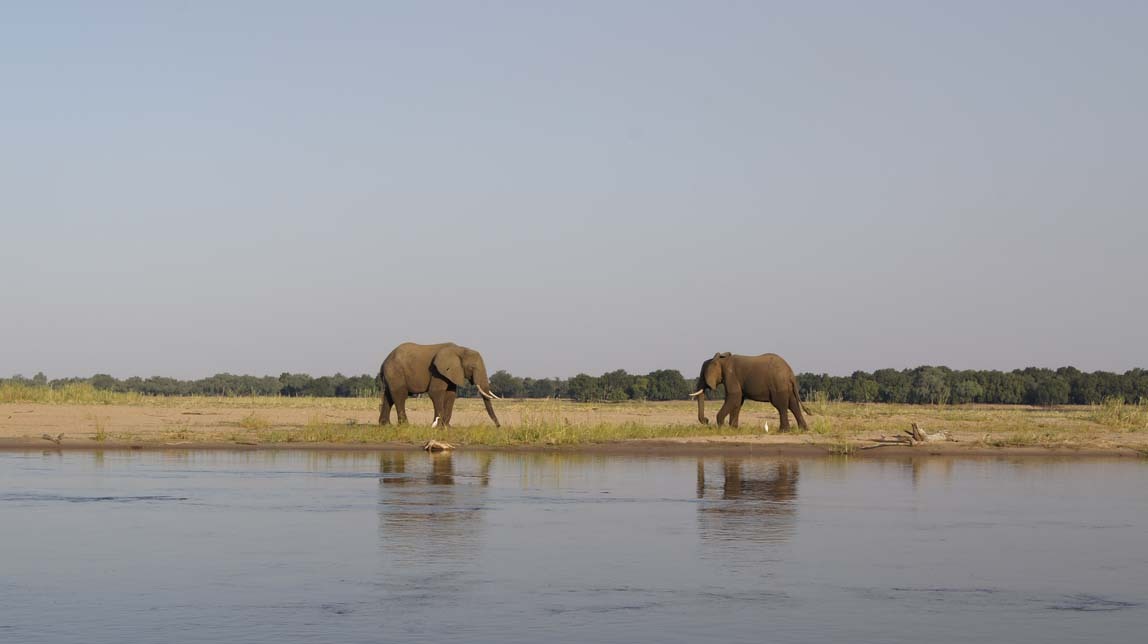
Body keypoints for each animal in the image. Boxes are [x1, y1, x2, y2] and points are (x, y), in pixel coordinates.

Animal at [684, 351, 812, 431]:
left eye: (702, 375)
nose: (706, 420)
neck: (722, 359)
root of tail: (791, 373)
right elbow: (738, 401)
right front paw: (733, 429)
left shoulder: (731, 375)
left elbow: (734, 397)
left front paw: (722, 428)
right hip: (786, 386)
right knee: (793, 404)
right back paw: (804, 429)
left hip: (778, 384)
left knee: (781, 405)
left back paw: (783, 431)